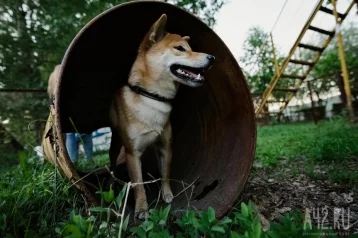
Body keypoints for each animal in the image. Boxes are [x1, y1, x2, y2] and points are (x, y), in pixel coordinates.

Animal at [109, 13, 215, 219]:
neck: (152, 97)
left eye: (191, 48)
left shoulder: (165, 147)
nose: (212, 57)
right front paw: (142, 209)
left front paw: (167, 195)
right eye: (180, 48)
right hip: (116, 144)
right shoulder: (132, 153)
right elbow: (139, 186)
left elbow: (165, 174)